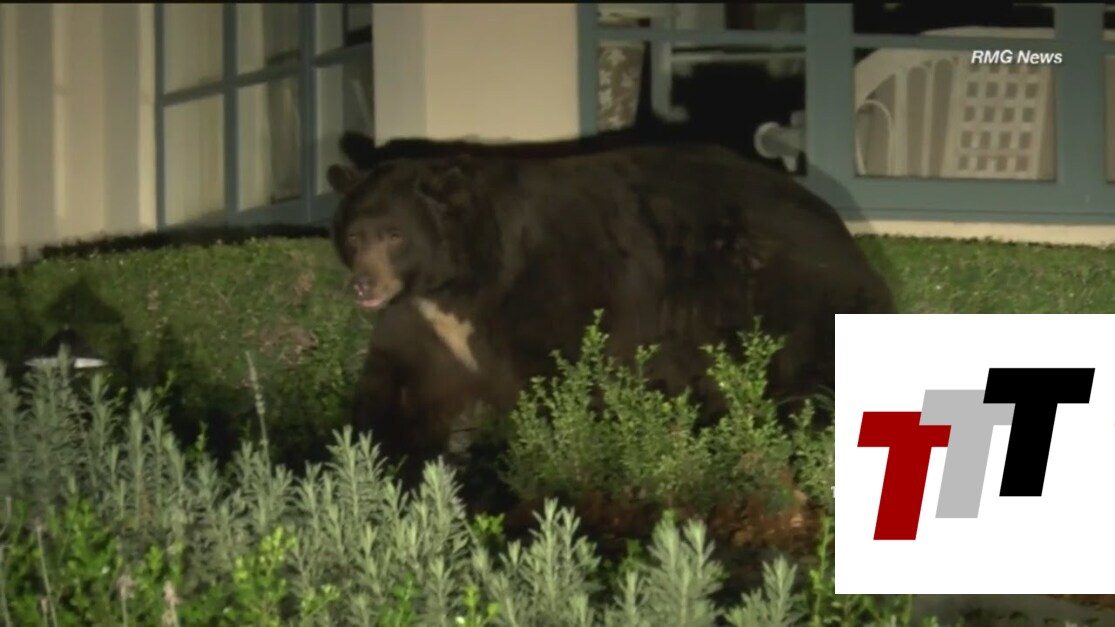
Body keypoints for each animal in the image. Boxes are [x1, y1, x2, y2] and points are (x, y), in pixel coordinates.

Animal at [326, 141, 896, 485]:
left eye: (395, 234)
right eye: (353, 236)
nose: (363, 284)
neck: (461, 282)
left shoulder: (550, 293)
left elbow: (560, 381)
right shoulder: (428, 326)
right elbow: (399, 383)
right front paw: (373, 461)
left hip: (764, 290)